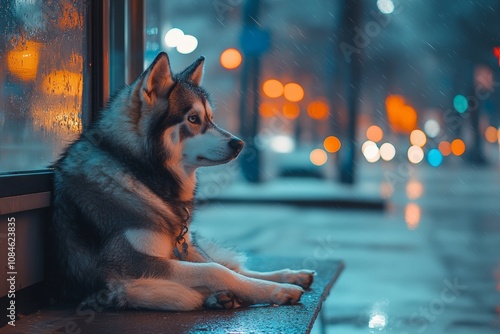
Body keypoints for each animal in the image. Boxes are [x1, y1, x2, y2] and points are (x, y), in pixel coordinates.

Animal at [48, 52, 314, 310]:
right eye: (193, 119)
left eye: (211, 118)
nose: (239, 144)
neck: (141, 175)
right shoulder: (129, 263)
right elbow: (216, 271)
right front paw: (276, 291)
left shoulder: (186, 249)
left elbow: (221, 267)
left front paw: (275, 286)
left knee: (234, 265)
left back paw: (290, 275)